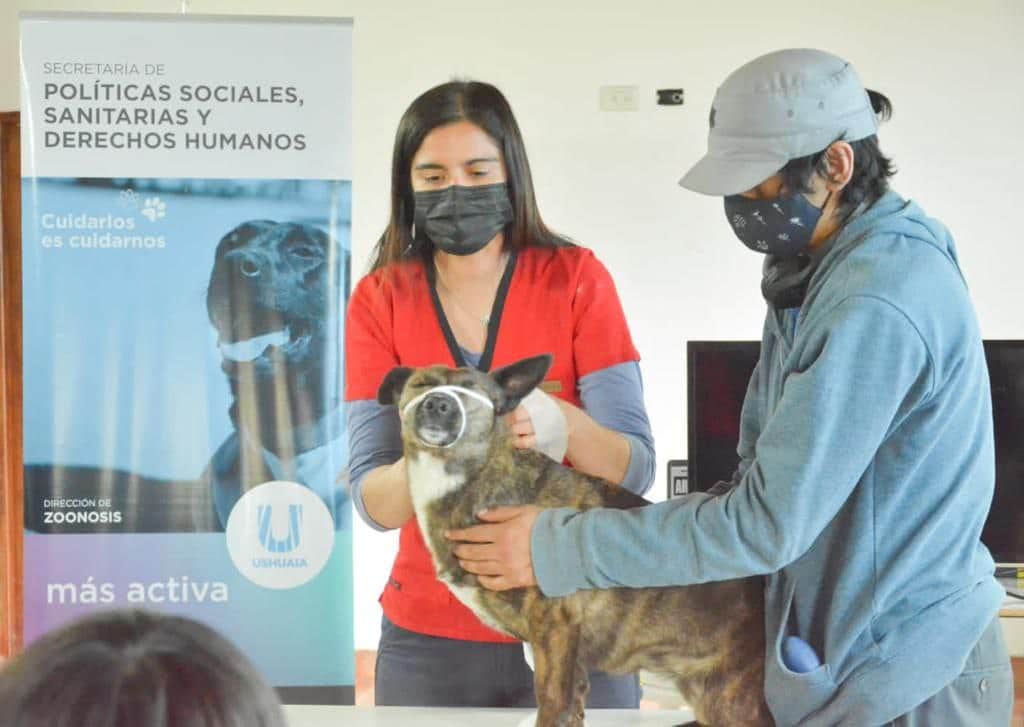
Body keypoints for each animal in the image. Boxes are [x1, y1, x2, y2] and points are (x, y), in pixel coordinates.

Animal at [376, 358, 770, 727]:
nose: (438, 404)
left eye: (472, 390)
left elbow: (551, 703)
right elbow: (573, 709)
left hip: (731, 701)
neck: (477, 476)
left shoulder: (555, 630)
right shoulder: (569, 657)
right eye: (421, 385)